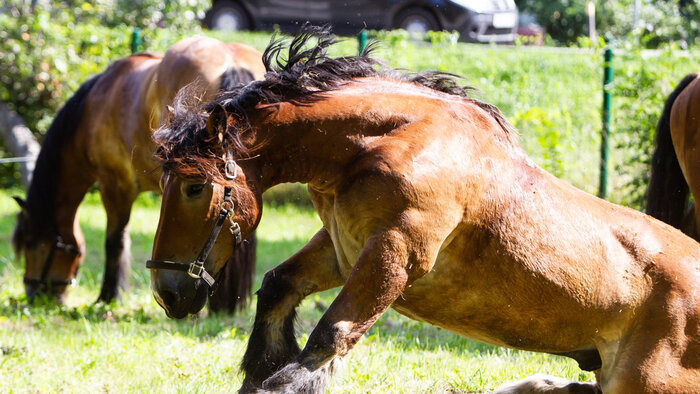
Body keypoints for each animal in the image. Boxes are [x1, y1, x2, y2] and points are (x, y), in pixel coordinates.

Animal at [13, 36, 266, 308]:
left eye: (31, 244)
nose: (33, 293)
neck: (91, 107)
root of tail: (230, 59)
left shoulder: (115, 184)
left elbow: (115, 240)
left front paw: (109, 297)